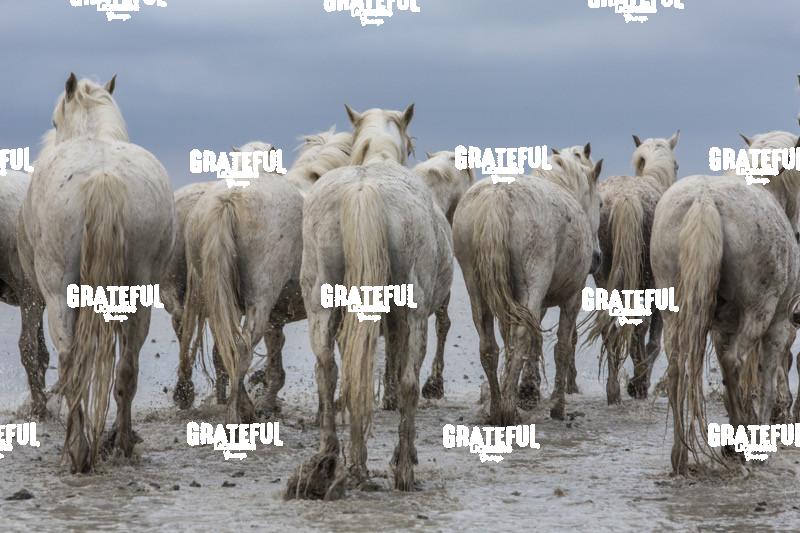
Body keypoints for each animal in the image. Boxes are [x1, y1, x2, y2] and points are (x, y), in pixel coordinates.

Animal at [17, 73, 175, 473]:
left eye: (55, 121)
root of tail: (104, 176)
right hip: (139, 295)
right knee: (127, 368)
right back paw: (121, 444)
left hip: (59, 294)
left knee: (72, 363)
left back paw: (76, 451)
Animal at [286, 104, 453, 499]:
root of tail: (364, 189)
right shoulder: (402, 319)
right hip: (414, 313)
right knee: (408, 381)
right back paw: (404, 470)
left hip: (321, 305)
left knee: (331, 373)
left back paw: (334, 462)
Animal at [453, 153, 603, 425]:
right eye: (601, 204)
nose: (597, 259)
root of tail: (499, 196)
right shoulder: (572, 299)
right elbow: (562, 347)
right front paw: (557, 406)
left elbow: (521, 341)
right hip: (533, 284)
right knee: (523, 336)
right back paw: (508, 410)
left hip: (476, 287)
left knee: (489, 345)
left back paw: (496, 407)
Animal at [587, 132, 679, 404]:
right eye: (677, 165)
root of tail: (626, 199)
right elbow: (653, 339)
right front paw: (640, 383)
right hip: (646, 283)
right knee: (639, 327)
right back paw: (637, 384)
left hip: (606, 278)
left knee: (609, 327)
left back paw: (613, 391)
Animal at [651, 159, 800, 474]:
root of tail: (704, 199)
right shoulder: (778, 326)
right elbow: (766, 381)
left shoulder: (722, 329)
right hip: (759, 311)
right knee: (737, 361)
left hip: (674, 313)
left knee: (677, 368)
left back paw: (680, 455)